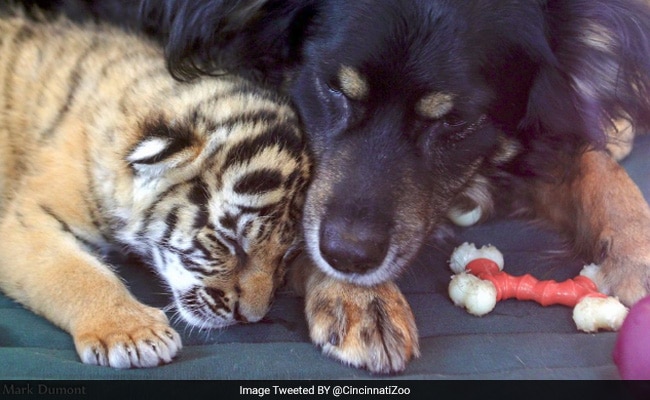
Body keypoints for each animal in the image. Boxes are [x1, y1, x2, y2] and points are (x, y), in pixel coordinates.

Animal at [22, 0, 648, 376]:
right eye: (332, 88)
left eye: (456, 122)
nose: (346, 259)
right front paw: (357, 298)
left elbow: (586, 158)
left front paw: (636, 248)